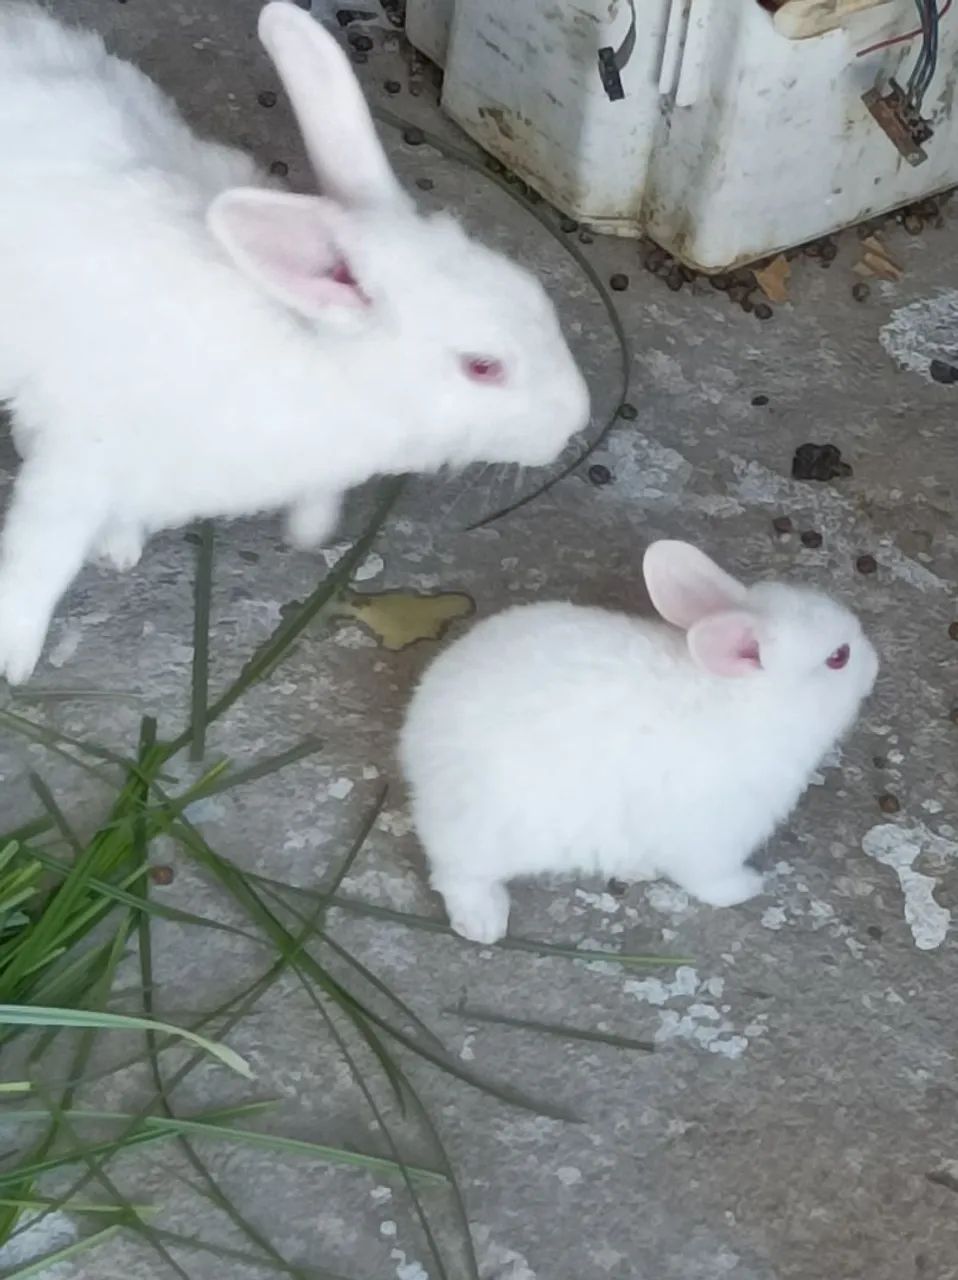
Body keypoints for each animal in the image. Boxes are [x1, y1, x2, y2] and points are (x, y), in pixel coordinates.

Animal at [0, 2, 590, 684]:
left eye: (537, 296)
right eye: (483, 366)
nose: (578, 418)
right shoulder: (82, 458)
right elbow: (41, 551)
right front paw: (13, 654)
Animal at [399, 540, 879, 943]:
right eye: (838, 657)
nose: (875, 664)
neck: (749, 702)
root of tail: (416, 740)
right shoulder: (711, 840)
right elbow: (713, 881)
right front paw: (748, 888)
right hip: (486, 836)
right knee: (457, 875)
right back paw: (485, 924)